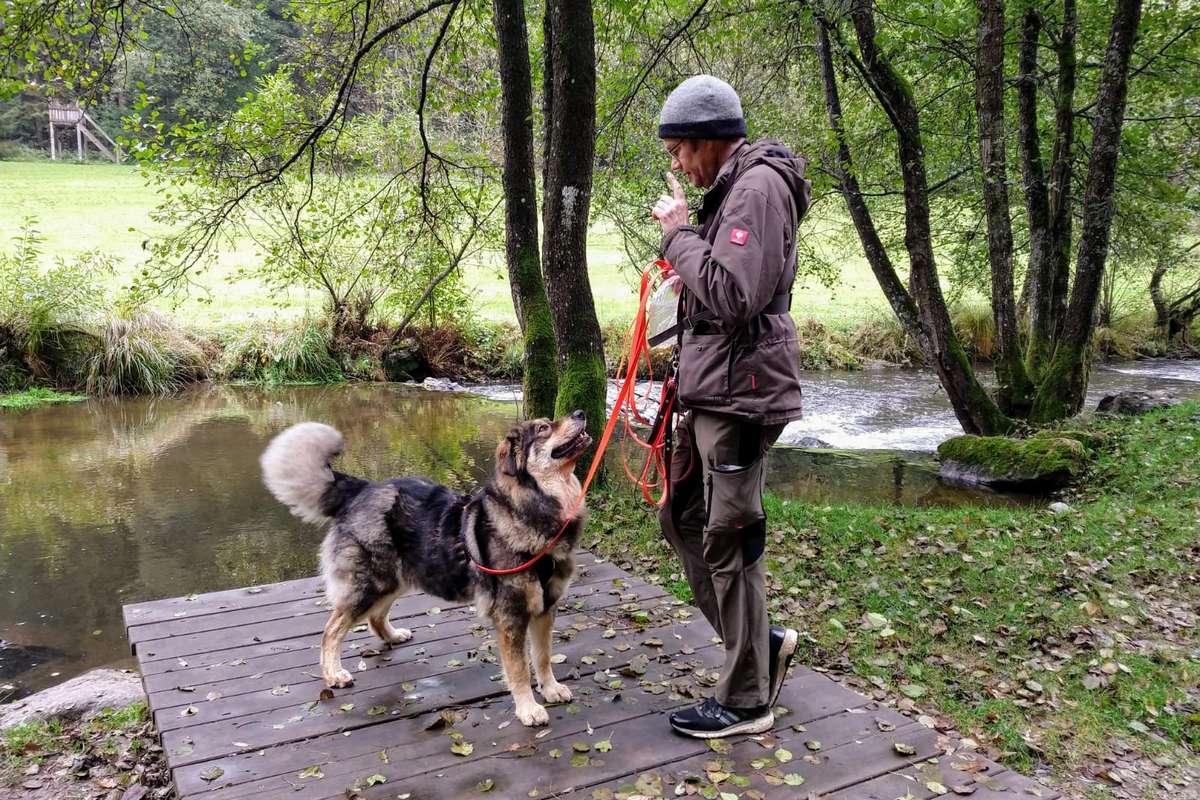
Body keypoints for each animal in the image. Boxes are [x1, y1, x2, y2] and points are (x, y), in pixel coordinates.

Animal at [264, 410, 595, 729]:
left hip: (394, 580)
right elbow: (519, 670)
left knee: (375, 617)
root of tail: (361, 488)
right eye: (543, 428)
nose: (580, 412)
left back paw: (392, 636)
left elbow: (542, 657)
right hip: (370, 584)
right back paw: (334, 673)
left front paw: (550, 689)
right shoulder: (510, 616)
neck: (535, 511)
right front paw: (528, 709)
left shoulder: (545, 608)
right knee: (330, 631)